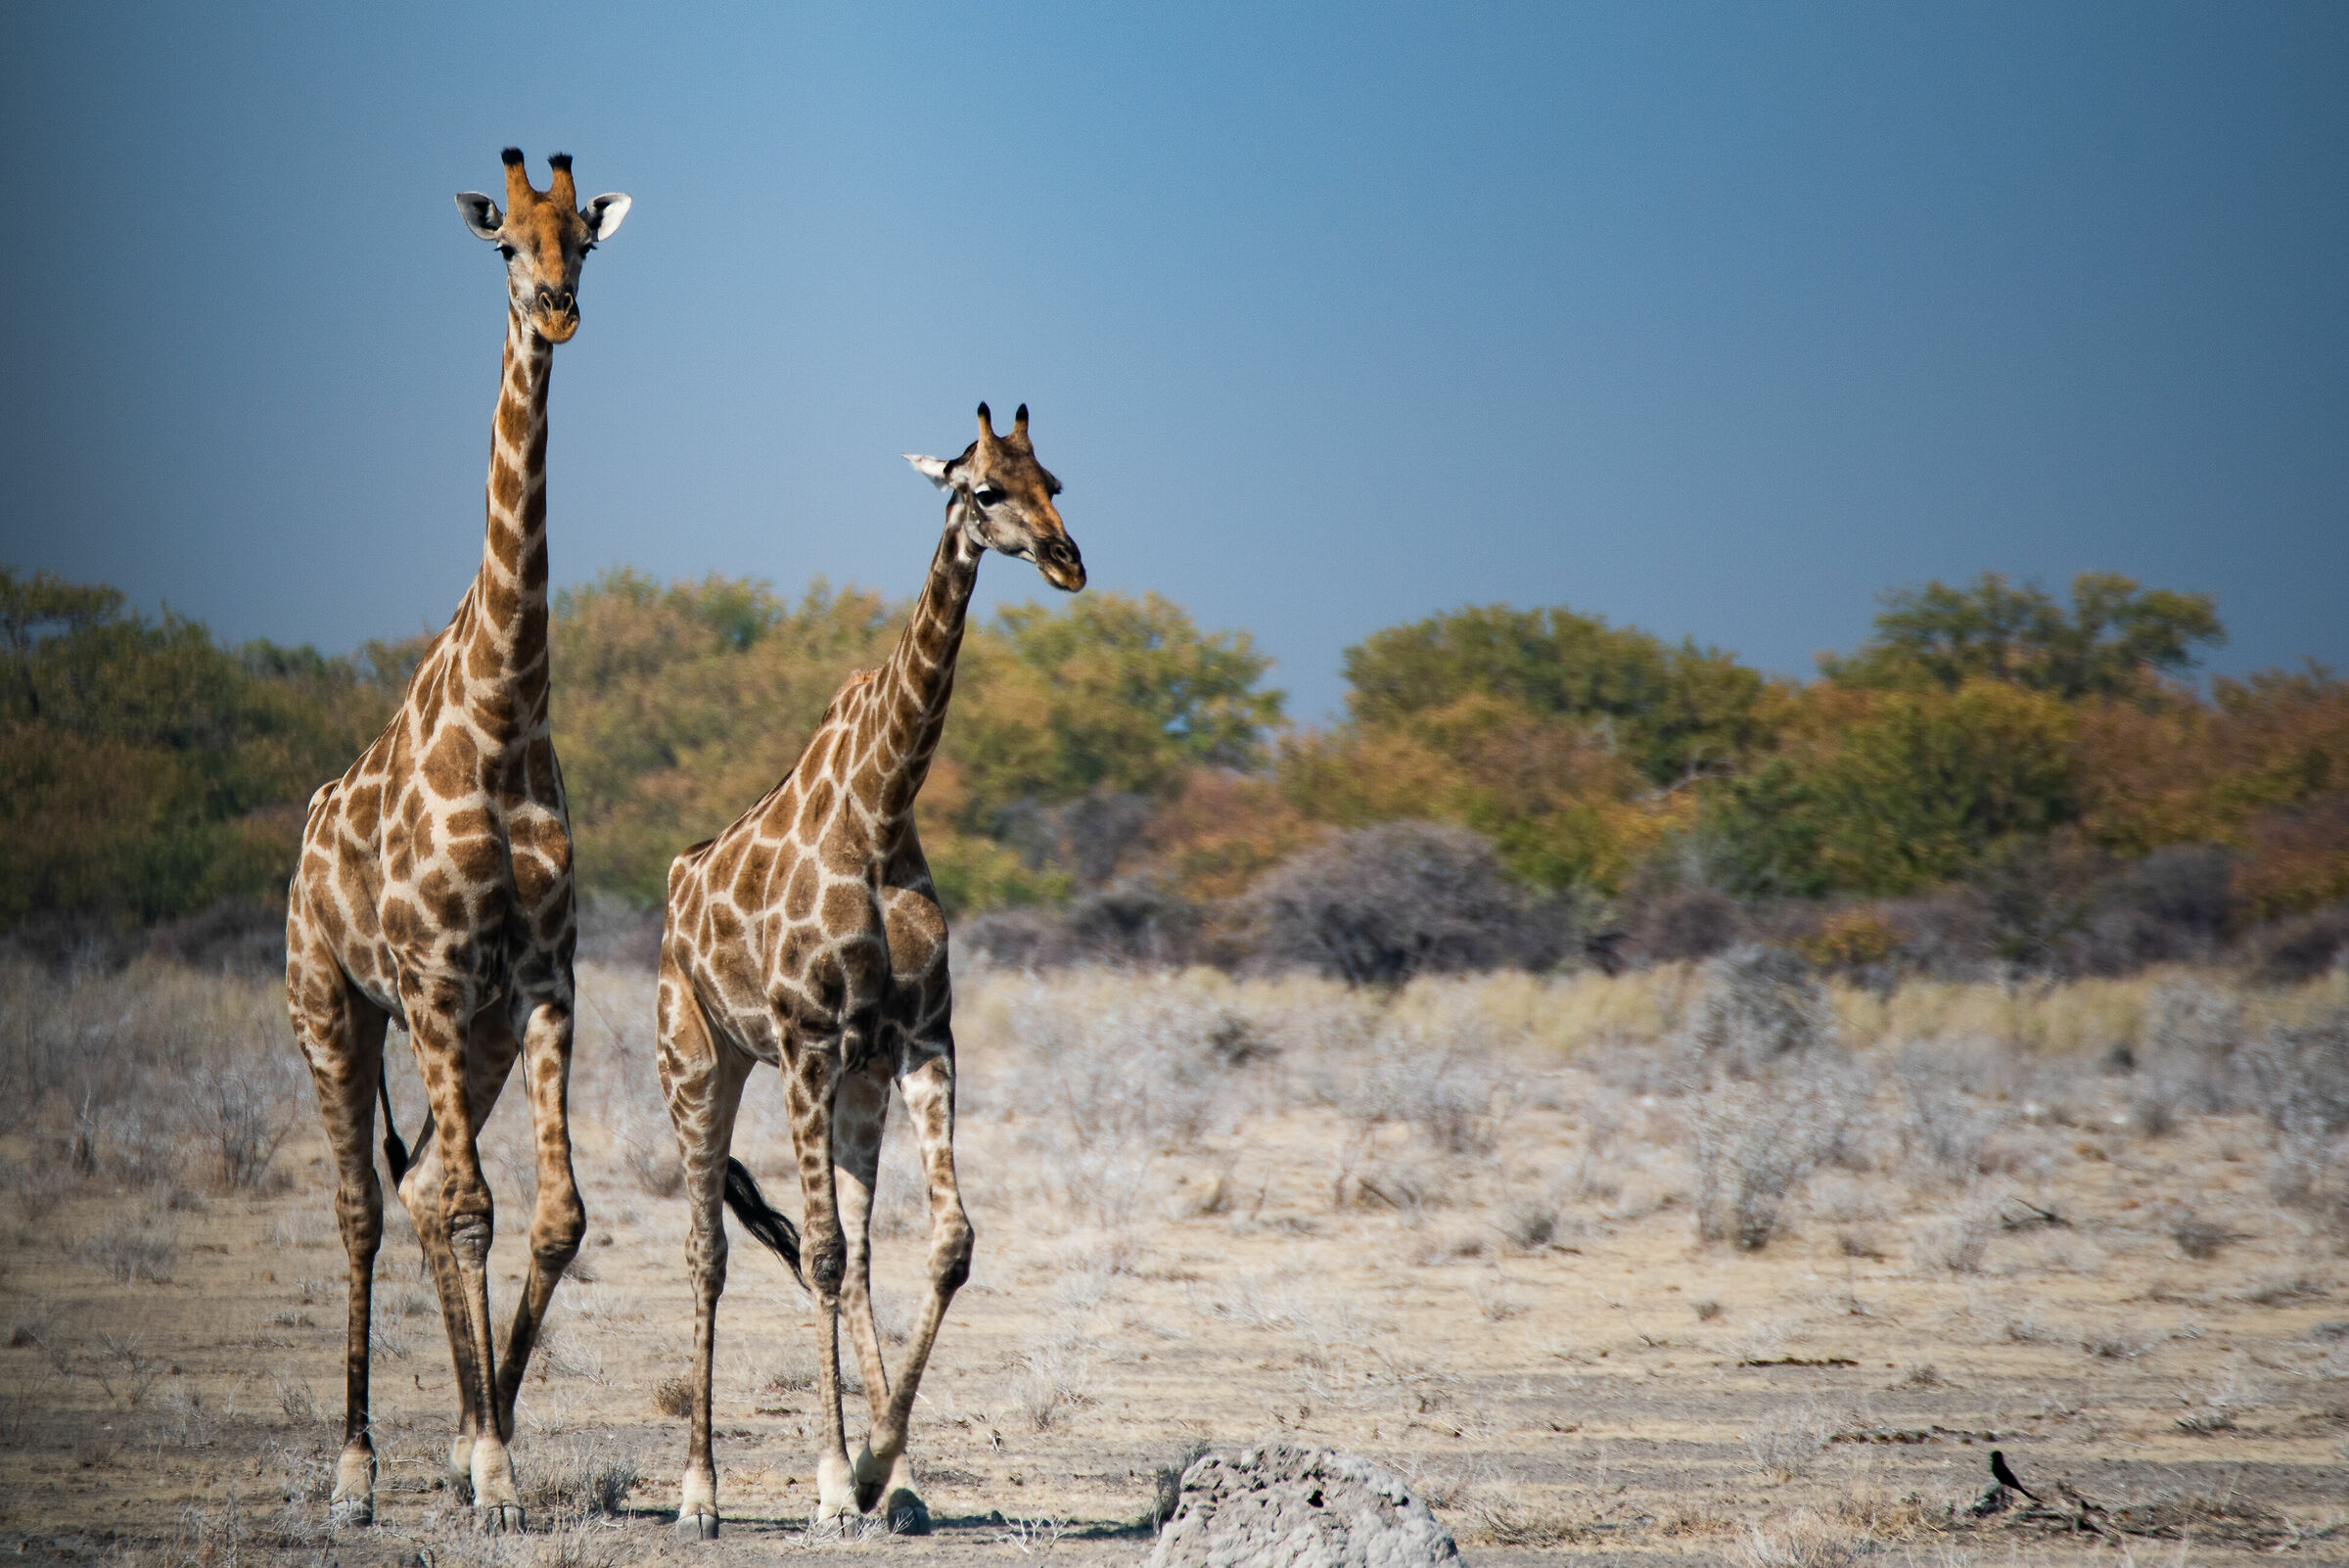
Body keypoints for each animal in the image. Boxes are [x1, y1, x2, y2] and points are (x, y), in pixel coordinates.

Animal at [283, 148, 630, 1532]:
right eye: (506, 247)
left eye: (583, 237)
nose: (558, 310)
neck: (503, 709)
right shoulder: (429, 980)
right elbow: (479, 1208)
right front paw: (490, 1473)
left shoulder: (542, 982)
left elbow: (553, 1217)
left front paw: (492, 1450)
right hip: (332, 1009)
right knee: (362, 1208)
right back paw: (356, 1472)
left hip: (466, 1040)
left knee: (425, 1190)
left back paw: (440, 1445)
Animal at [656, 403, 1084, 1538]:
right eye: (984, 490)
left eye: (1057, 480)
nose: (1069, 561)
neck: (881, 808)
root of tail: (674, 892)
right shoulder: (805, 1041)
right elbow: (815, 1252)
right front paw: (832, 1485)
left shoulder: (920, 1040)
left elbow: (944, 1244)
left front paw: (877, 1470)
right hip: (702, 1064)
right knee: (711, 1253)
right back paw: (700, 1496)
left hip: (853, 1081)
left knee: (855, 1252)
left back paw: (884, 1481)